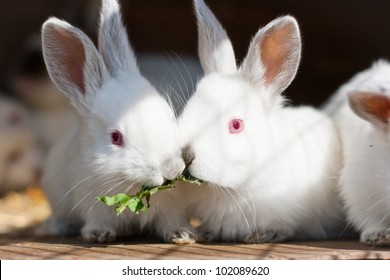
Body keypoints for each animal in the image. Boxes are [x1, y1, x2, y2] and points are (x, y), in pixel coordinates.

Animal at [37, 0, 187, 243]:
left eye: (169, 116)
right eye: (116, 138)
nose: (171, 169)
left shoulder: (171, 208)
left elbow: (170, 221)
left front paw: (181, 234)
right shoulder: (92, 203)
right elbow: (97, 221)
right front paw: (98, 234)